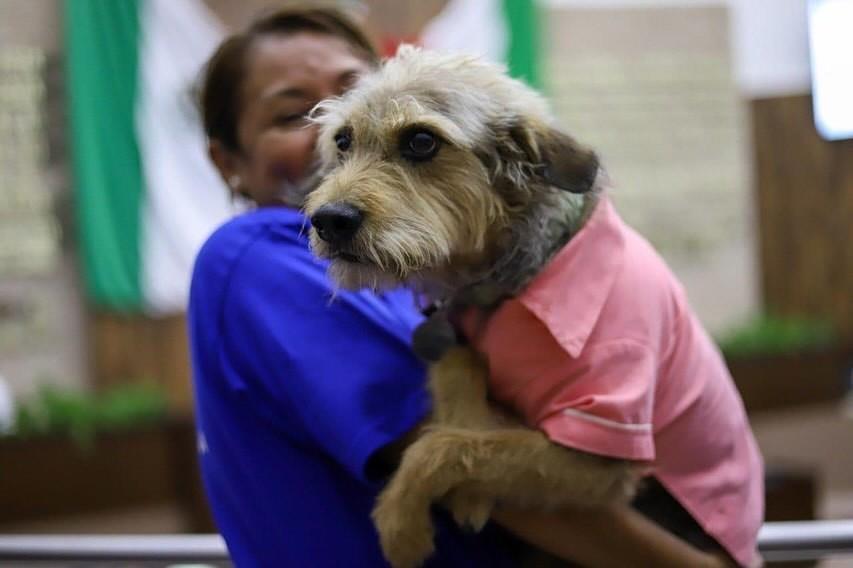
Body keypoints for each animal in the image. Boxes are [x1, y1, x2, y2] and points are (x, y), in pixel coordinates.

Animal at [302, 47, 760, 568]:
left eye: (421, 141)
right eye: (343, 140)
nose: (329, 220)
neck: (507, 285)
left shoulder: (603, 452)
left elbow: (449, 444)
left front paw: (402, 524)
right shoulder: (455, 341)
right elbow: (459, 378)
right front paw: (466, 477)